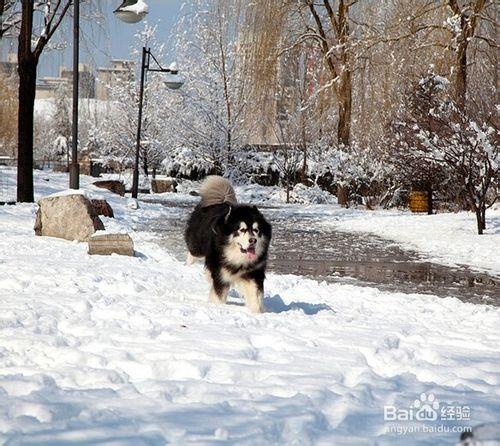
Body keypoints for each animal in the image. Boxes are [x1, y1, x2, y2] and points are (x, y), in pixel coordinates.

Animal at [184, 176, 272, 312]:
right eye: (242, 230)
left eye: (256, 230)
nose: (253, 240)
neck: (237, 257)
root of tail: (220, 202)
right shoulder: (221, 275)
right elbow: (219, 296)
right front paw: (217, 307)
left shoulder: (253, 273)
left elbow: (255, 298)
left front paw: (257, 312)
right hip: (198, 245)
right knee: (193, 252)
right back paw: (188, 264)